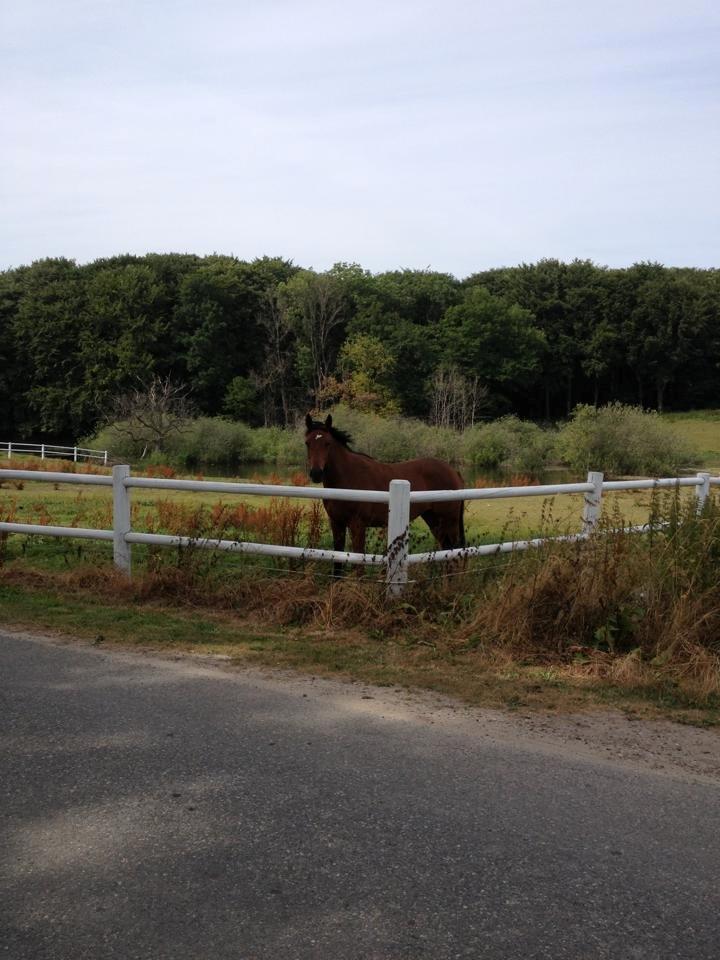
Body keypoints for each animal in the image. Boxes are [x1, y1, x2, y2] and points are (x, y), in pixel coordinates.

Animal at [306, 408, 466, 572]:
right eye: (307, 443)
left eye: (327, 443)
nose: (316, 474)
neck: (347, 477)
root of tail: (453, 471)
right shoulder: (337, 523)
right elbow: (337, 561)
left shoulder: (357, 525)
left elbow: (359, 565)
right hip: (434, 520)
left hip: (449, 522)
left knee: (453, 553)